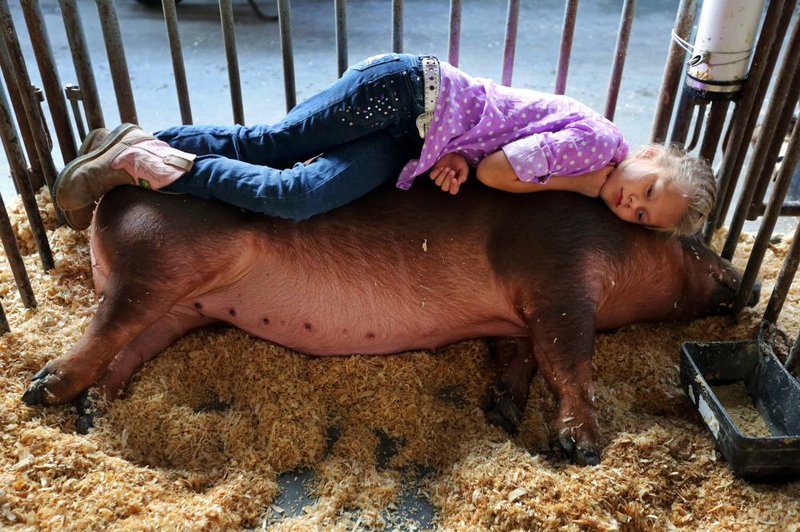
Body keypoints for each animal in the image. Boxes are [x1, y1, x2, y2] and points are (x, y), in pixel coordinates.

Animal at [20, 184, 756, 466]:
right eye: (696, 241)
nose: (742, 282)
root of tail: (107, 204)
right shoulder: (558, 272)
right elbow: (568, 358)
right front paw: (584, 448)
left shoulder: (516, 317)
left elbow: (521, 357)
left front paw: (501, 411)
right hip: (159, 266)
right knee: (102, 329)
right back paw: (41, 391)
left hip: (181, 307)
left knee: (124, 348)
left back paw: (92, 413)